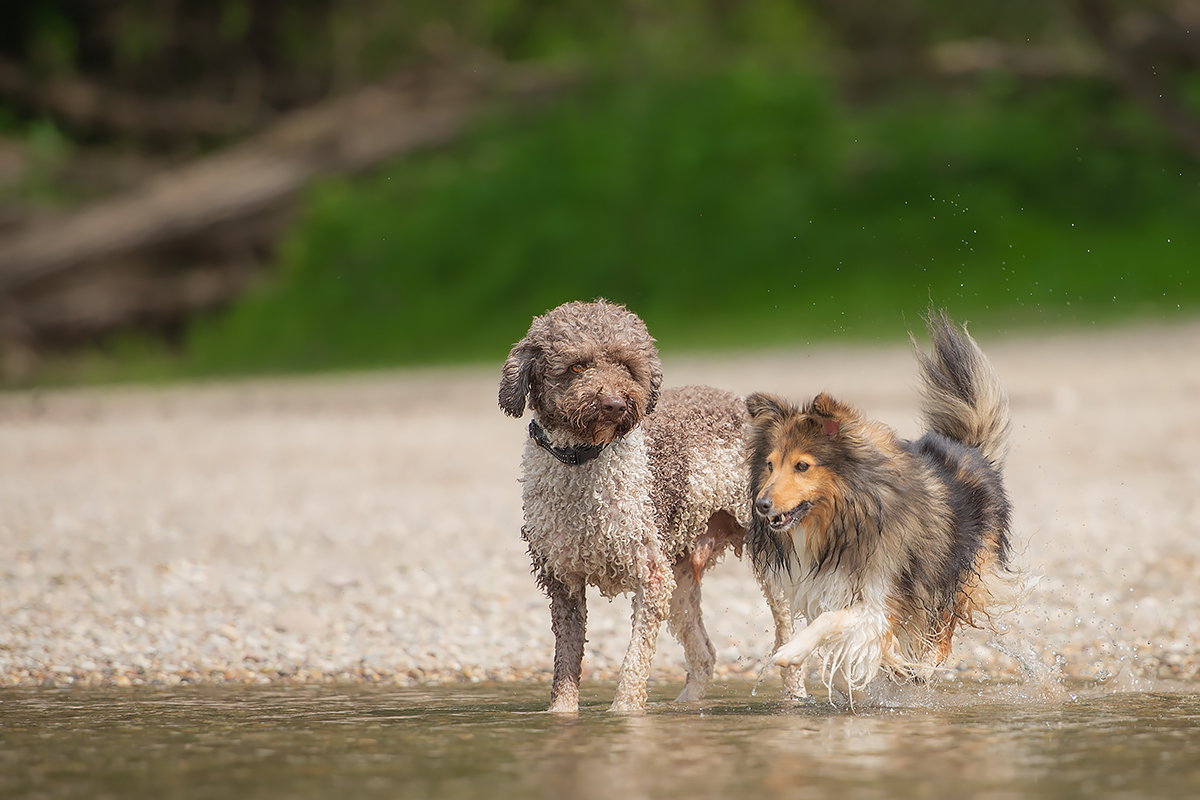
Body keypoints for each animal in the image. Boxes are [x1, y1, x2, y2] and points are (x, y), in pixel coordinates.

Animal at [744, 309, 1027, 705]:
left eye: (802, 466)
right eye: (770, 465)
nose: (762, 505)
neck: (845, 518)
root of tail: (970, 449)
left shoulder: (883, 597)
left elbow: (834, 622)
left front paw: (791, 651)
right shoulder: (829, 588)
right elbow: (850, 642)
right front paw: (868, 675)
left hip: (955, 573)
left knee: (944, 632)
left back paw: (924, 668)